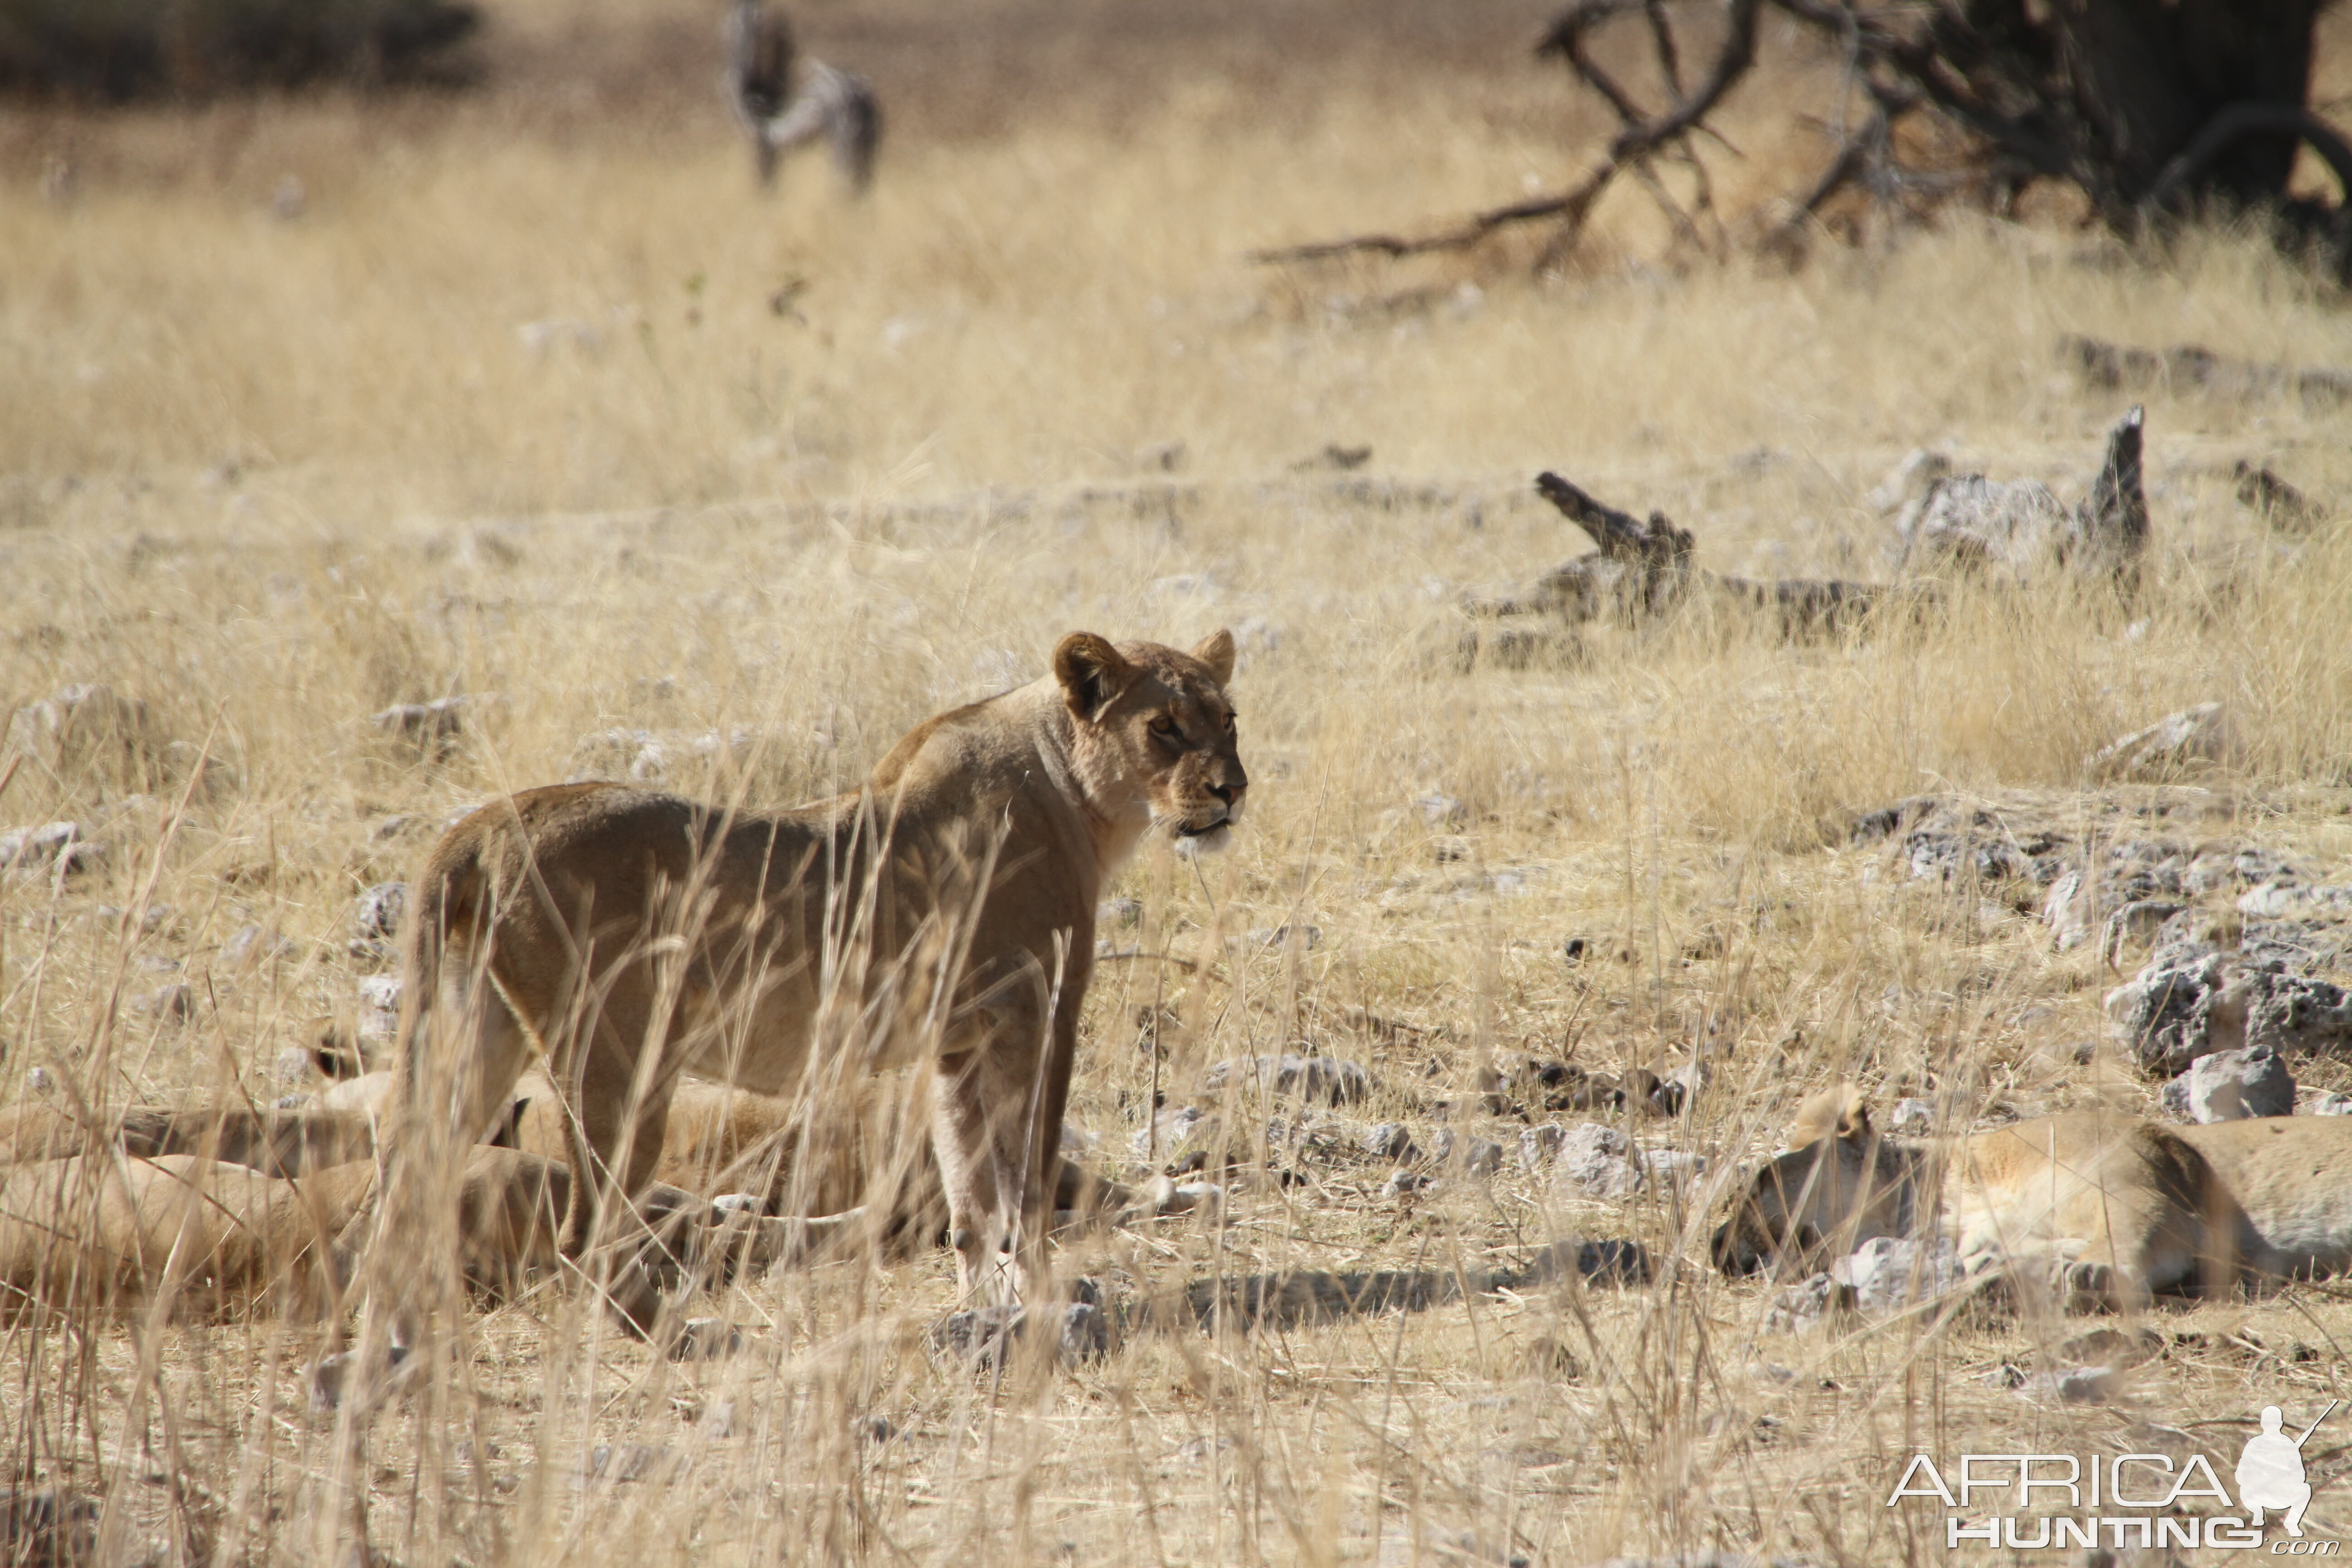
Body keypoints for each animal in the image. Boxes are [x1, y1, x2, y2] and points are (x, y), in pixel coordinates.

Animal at [348, 630, 1251, 1382]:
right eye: (1164, 727)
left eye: (1228, 720)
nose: (1231, 791)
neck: (1077, 798)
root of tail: (479, 829)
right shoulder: (1039, 1017)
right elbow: (1023, 1185)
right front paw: (1041, 1306)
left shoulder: (958, 1043)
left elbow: (968, 1192)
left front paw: (983, 1309)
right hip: (618, 1059)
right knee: (585, 1234)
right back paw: (689, 1337)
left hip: (476, 1031)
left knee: (411, 1179)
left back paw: (393, 1341)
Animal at [1712, 1086, 2352, 1307]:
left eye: (1759, 1183)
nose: (1716, 1243)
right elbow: (2015, 1258)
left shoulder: (2146, 1188)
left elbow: (2135, 1232)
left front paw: (2094, 1275)